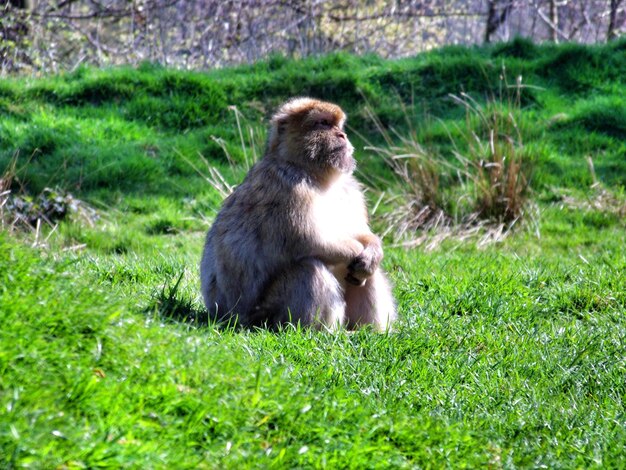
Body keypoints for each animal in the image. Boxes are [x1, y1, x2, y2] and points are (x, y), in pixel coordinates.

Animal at [200, 97, 394, 328]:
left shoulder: (351, 190)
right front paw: (356, 250)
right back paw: (322, 332)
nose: (342, 135)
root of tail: (224, 313)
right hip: (263, 316)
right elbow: (308, 239)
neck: (316, 176)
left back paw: (368, 330)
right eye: (323, 123)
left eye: (338, 126)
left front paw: (372, 251)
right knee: (308, 267)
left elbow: (359, 233)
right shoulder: (286, 187)